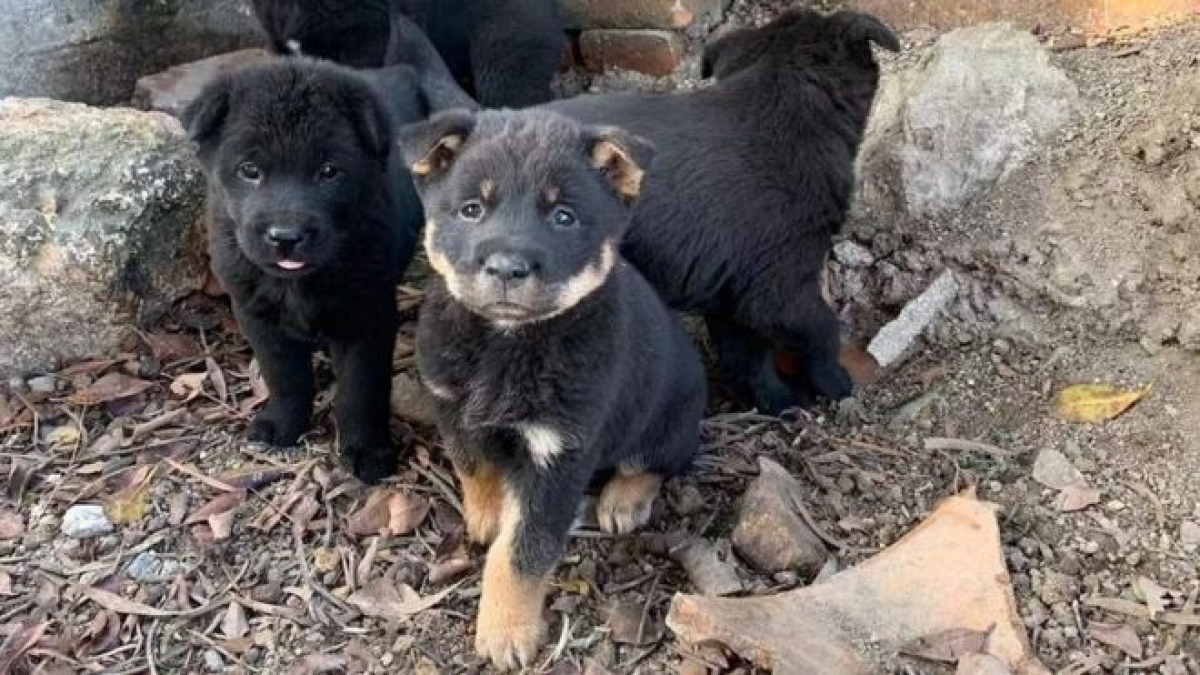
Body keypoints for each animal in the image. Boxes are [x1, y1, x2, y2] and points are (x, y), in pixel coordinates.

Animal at [180, 57, 420, 478]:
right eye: (249, 169)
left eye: (329, 171)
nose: (286, 236)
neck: (296, 284)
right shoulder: (257, 316)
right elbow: (285, 376)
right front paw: (283, 424)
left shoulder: (367, 317)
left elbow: (361, 389)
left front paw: (367, 449)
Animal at [400, 107, 700, 662]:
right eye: (472, 209)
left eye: (564, 216)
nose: (506, 268)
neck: (504, 344)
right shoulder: (452, 406)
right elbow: (472, 463)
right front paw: (487, 513)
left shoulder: (558, 455)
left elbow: (523, 551)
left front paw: (506, 632)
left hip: (670, 422)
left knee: (654, 463)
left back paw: (624, 500)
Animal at [544, 9, 902, 410]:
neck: (783, 101)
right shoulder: (778, 280)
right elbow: (821, 327)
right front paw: (834, 382)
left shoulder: (728, 291)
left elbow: (747, 356)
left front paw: (779, 401)